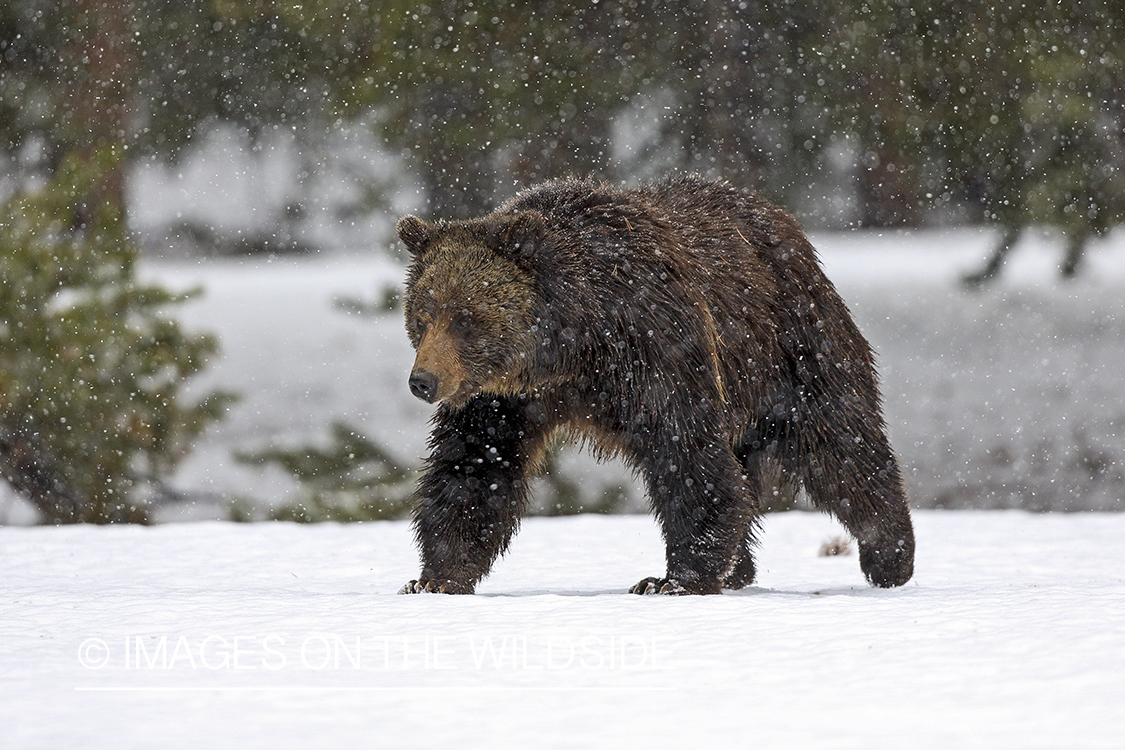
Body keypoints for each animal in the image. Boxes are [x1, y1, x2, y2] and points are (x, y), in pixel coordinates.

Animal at [396, 173, 913, 593]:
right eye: (421, 315)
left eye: (464, 318)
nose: (423, 381)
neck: (568, 348)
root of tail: (783, 220)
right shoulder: (504, 398)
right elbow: (474, 467)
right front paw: (435, 577)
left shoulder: (652, 344)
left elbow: (684, 451)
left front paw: (673, 580)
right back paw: (740, 569)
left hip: (792, 346)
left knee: (838, 443)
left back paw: (891, 556)